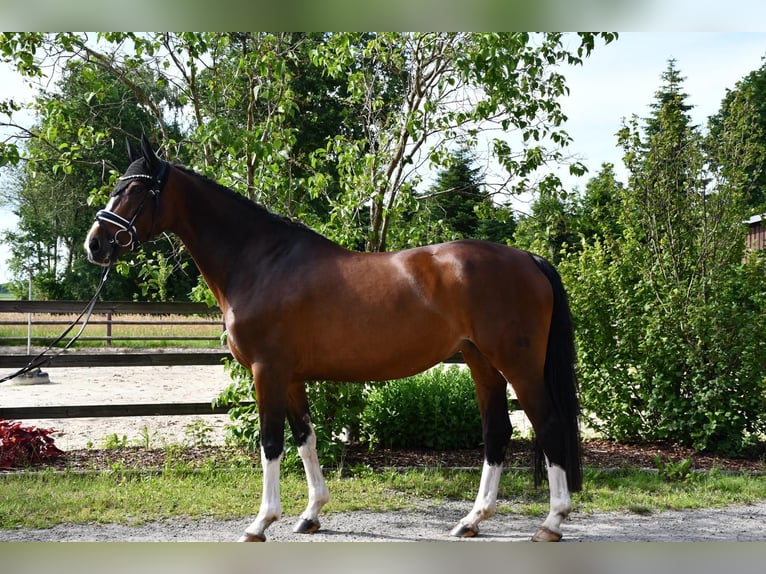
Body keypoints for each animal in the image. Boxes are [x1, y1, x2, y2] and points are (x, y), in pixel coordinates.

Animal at [85, 135, 582, 542]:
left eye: (134, 190)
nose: (95, 244)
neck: (261, 262)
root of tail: (529, 259)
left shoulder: (267, 371)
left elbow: (271, 442)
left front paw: (260, 523)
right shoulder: (290, 377)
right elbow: (305, 438)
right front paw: (310, 514)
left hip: (518, 365)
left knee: (548, 424)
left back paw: (552, 522)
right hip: (481, 361)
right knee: (497, 431)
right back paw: (472, 521)